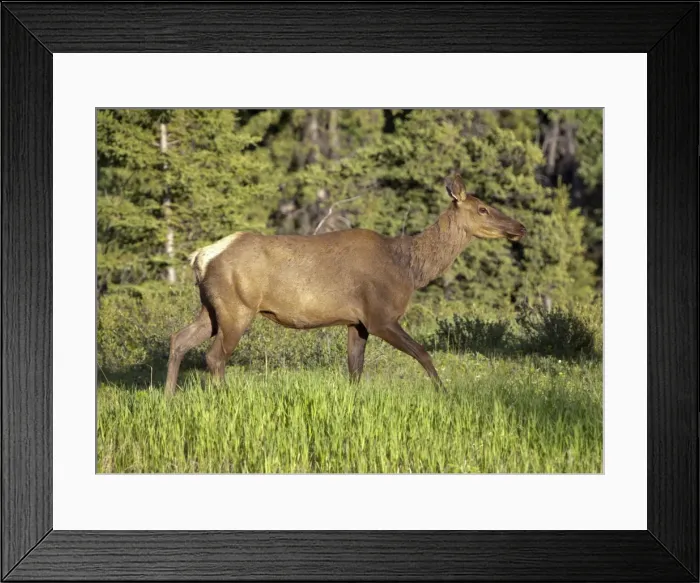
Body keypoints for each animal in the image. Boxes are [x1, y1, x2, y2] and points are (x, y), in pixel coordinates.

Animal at [164, 173, 526, 396]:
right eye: (483, 208)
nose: (519, 227)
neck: (410, 269)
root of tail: (200, 256)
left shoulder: (357, 321)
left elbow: (355, 369)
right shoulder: (380, 316)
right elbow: (423, 353)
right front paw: (444, 393)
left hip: (210, 308)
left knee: (179, 339)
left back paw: (168, 397)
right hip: (236, 308)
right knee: (215, 356)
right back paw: (222, 396)